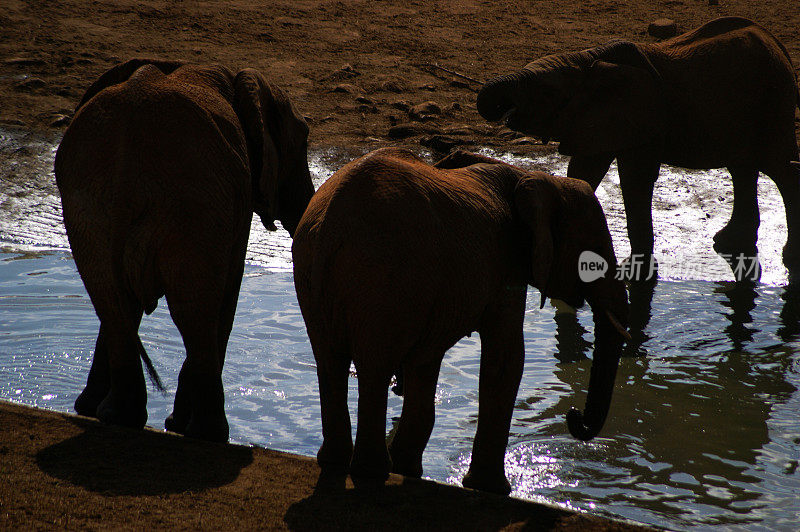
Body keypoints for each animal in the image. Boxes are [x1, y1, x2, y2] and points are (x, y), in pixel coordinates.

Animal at [53, 57, 314, 440]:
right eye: (304, 140)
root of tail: (127, 161)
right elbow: (228, 295)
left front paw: (89, 409)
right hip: (194, 204)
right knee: (195, 310)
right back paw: (206, 433)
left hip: (88, 207)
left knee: (112, 301)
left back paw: (117, 416)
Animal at [290, 147, 628, 494]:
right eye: (593, 259)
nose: (574, 416)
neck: (536, 180)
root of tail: (332, 223)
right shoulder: (506, 266)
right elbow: (506, 359)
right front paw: (490, 489)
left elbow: (429, 362)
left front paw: (410, 469)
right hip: (383, 276)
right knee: (375, 365)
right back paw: (371, 472)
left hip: (314, 272)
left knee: (330, 359)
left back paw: (337, 461)